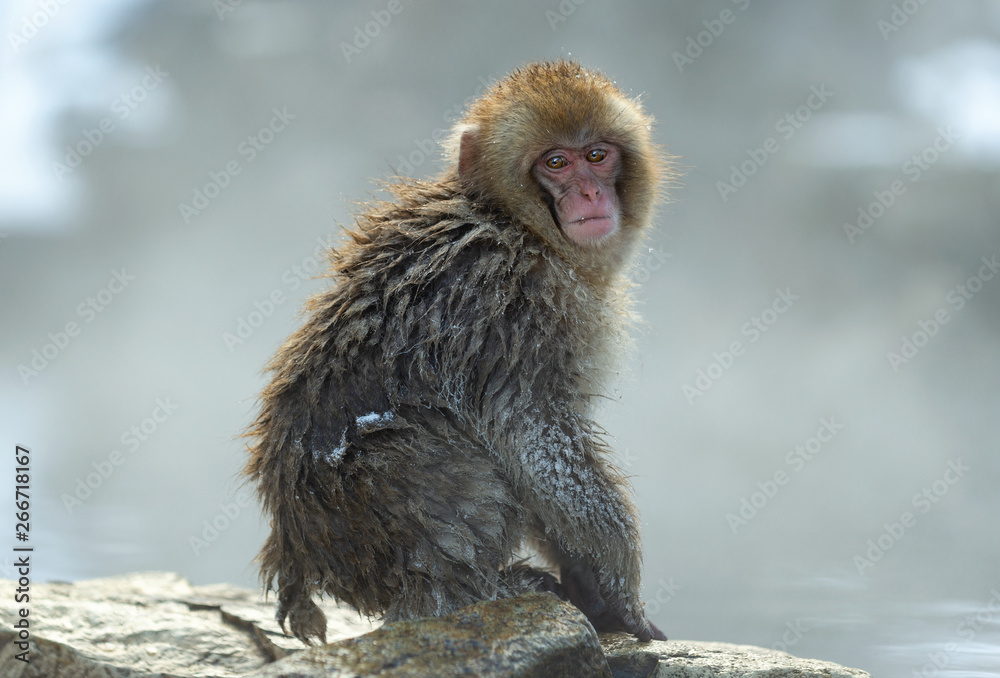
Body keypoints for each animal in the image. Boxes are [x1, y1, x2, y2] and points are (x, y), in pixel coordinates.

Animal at [244, 60, 670, 645]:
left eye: (597, 155)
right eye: (555, 163)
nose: (588, 194)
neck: (518, 223)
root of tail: (298, 552)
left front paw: (590, 580)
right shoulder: (518, 307)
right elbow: (533, 437)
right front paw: (620, 585)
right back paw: (477, 593)